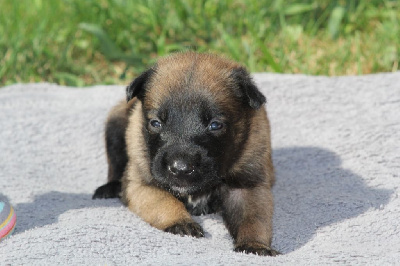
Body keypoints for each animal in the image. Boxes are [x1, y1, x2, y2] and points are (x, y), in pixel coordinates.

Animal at [93, 51, 278, 256]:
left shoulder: (248, 186)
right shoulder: (141, 185)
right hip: (115, 125)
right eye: (156, 123)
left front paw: (255, 245)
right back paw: (109, 188)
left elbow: (253, 219)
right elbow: (164, 201)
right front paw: (181, 222)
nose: (180, 168)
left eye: (215, 125)